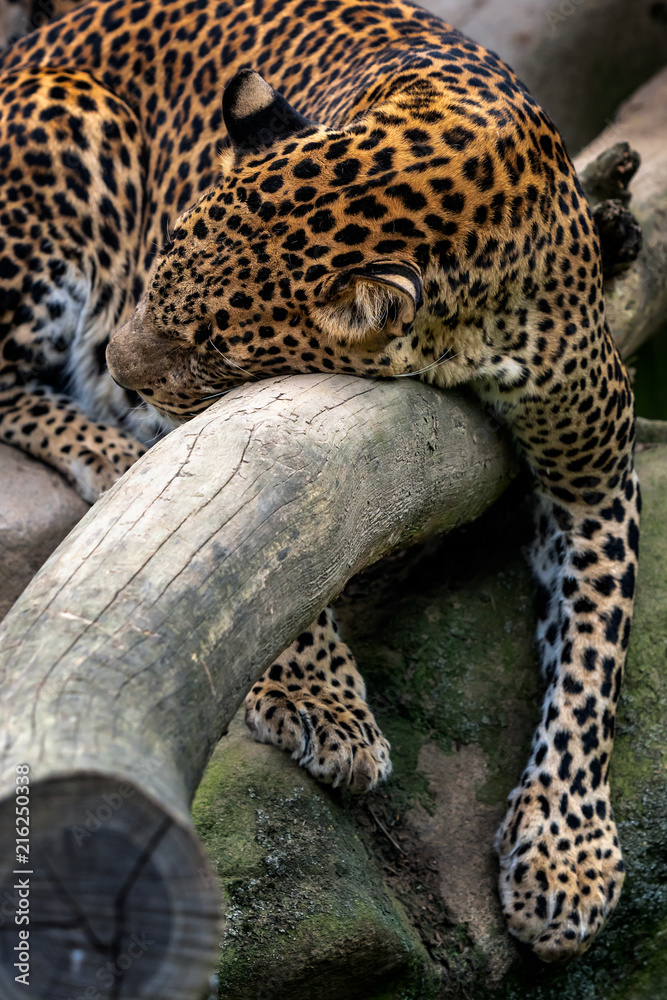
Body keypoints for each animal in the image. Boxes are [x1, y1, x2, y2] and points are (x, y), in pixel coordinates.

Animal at [0, 0, 639, 965]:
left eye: (216, 342)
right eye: (159, 266)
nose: (116, 367)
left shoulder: (593, 468)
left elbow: (595, 661)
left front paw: (565, 854)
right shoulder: (202, 423)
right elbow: (246, 557)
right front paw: (319, 700)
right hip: (73, 116)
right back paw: (107, 451)